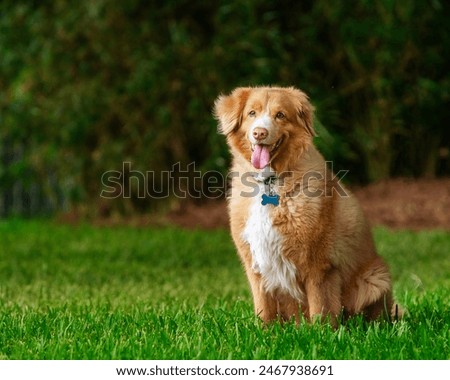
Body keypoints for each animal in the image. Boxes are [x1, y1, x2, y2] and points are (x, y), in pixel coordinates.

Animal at [214, 87, 398, 326]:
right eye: (252, 113)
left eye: (280, 115)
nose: (259, 133)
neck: (270, 183)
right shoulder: (254, 262)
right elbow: (264, 309)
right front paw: (263, 332)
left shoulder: (318, 265)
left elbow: (320, 308)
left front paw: (321, 333)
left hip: (375, 278)